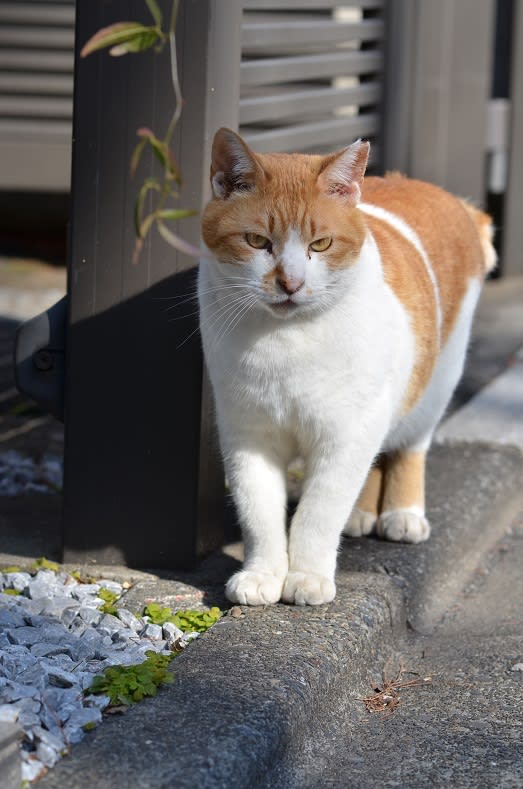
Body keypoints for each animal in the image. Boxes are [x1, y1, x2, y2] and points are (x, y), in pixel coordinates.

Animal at [199, 126, 498, 608]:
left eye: (320, 244)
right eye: (257, 242)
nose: (290, 283)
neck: (286, 344)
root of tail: (440, 193)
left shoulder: (346, 434)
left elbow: (318, 512)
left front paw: (306, 577)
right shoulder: (248, 436)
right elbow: (258, 513)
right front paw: (262, 575)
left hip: (434, 385)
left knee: (409, 447)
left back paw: (402, 514)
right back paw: (361, 514)